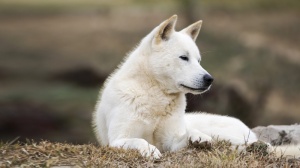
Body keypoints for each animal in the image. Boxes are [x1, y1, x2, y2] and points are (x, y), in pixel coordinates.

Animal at [92, 15, 298, 158]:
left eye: (198, 61)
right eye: (184, 58)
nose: (210, 79)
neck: (155, 95)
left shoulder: (170, 141)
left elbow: (186, 135)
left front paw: (198, 138)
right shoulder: (118, 139)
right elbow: (139, 141)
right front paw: (150, 150)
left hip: (225, 133)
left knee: (255, 144)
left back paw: (256, 147)